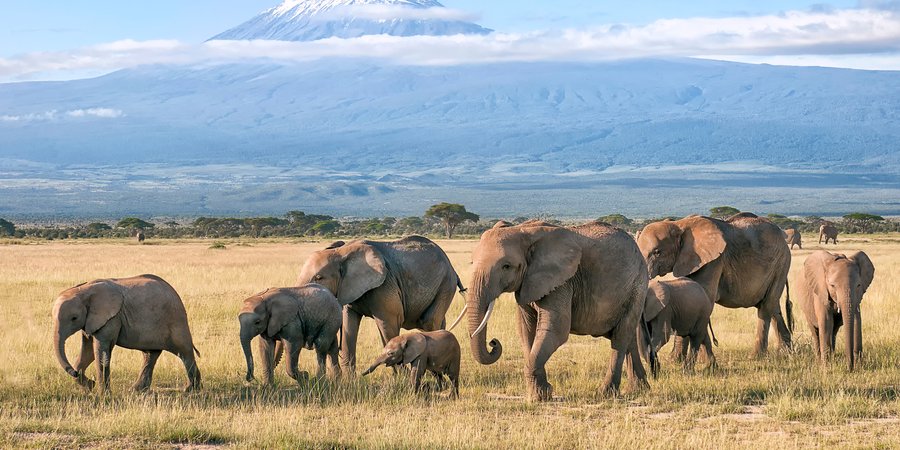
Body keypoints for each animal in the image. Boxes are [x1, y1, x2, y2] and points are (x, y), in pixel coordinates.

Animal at [52, 274, 200, 392]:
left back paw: (191, 389)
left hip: (176, 321)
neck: (83, 290)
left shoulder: (112, 318)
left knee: (185, 352)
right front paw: (90, 386)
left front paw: (103, 394)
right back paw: (137, 390)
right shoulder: (91, 321)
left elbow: (101, 351)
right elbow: (88, 351)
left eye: (74, 318)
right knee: (150, 354)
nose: (74, 373)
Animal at [297, 236, 465, 374]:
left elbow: (388, 324)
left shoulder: (385, 286)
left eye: (319, 277)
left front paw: (402, 381)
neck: (341, 252)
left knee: (429, 322)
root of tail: (453, 269)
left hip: (445, 284)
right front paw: (350, 381)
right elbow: (348, 325)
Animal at [465, 220, 650, 401]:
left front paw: (541, 396)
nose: (493, 342)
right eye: (471, 262)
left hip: (637, 286)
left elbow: (556, 330)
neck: (522, 230)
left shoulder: (562, 282)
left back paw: (606, 393)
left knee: (620, 337)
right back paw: (638, 389)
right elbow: (526, 330)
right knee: (628, 337)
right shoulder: (527, 283)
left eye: (506, 266)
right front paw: (540, 394)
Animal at [637, 213, 792, 357]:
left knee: (766, 306)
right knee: (773, 306)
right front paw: (677, 360)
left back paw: (756, 357)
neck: (680, 224)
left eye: (657, 252)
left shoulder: (714, 261)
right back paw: (787, 352)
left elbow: (703, 299)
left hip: (781, 262)